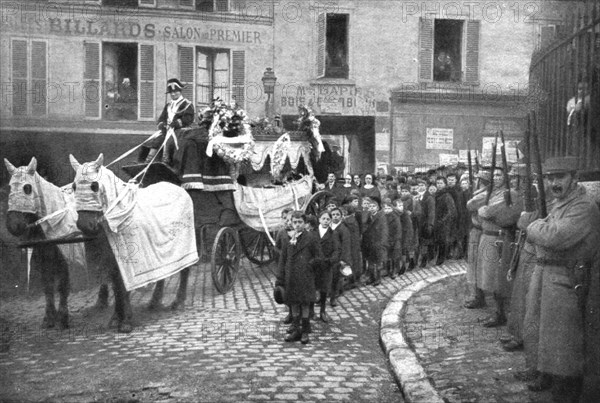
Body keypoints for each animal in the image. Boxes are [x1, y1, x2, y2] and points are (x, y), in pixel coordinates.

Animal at [70, 153, 197, 332]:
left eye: (94, 186)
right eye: (74, 186)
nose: (85, 225)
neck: (119, 217)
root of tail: (178, 188)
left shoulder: (128, 260)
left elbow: (124, 288)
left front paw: (126, 321)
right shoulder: (112, 261)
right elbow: (117, 286)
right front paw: (116, 318)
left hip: (185, 244)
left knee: (185, 270)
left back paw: (178, 302)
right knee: (162, 274)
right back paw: (154, 302)